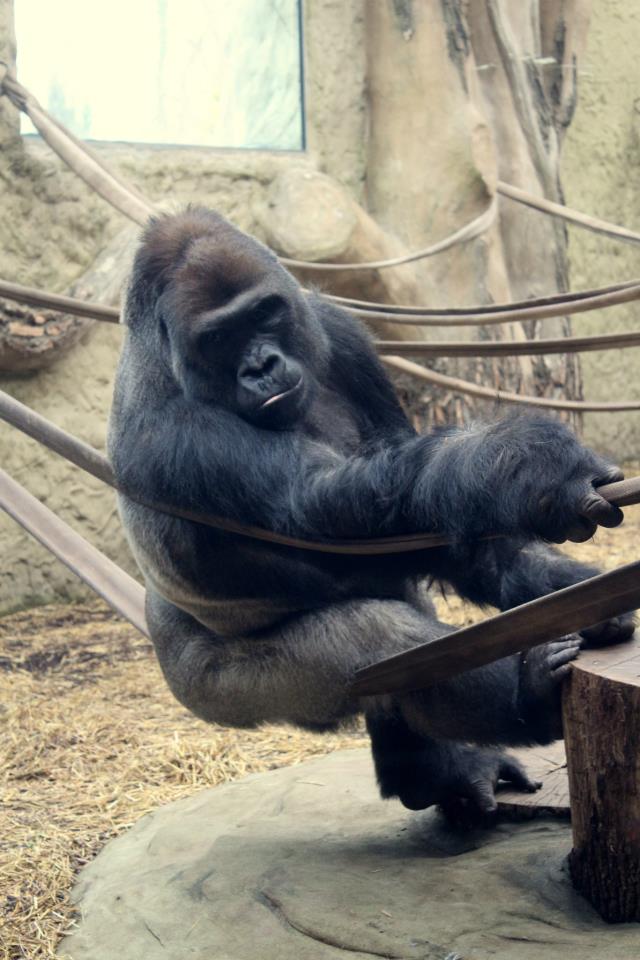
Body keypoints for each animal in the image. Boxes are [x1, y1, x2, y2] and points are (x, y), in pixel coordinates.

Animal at [108, 207, 634, 819]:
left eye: (264, 313)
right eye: (217, 338)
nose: (261, 365)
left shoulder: (337, 331)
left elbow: (437, 531)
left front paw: (567, 586)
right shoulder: (173, 434)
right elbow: (321, 509)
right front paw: (528, 468)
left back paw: (434, 771)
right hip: (213, 685)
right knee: (382, 645)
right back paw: (526, 696)